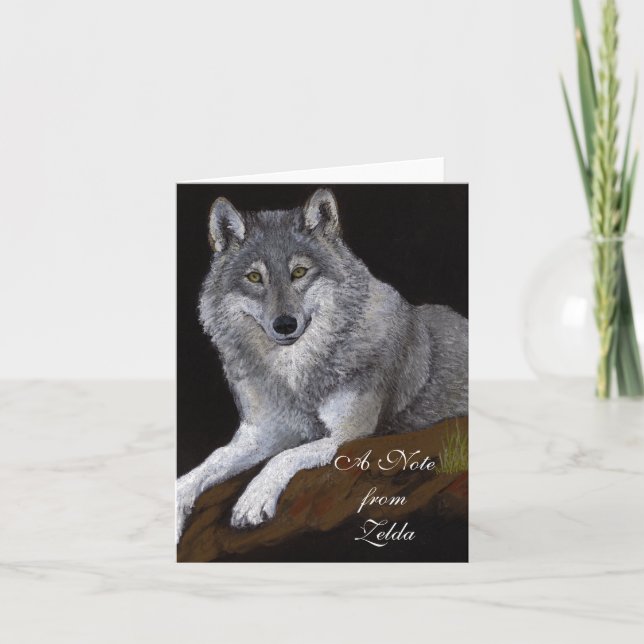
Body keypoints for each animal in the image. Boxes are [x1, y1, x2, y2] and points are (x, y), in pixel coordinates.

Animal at [176, 188, 467, 543]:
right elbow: (209, 463)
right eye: (255, 278)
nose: (285, 324)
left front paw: (253, 500)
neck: (296, 375)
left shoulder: (350, 436)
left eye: (299, 272)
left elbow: (284, 456)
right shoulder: (261, 433)